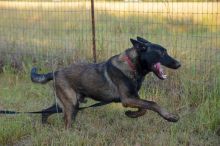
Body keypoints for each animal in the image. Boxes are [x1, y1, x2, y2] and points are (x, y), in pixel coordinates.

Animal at [31, 36, 181, 129]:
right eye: (162, 53)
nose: (179, 64)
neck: (132, 65)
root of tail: (55, 72)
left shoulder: (133, 97)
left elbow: (144, 109)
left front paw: (131, 114)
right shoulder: (127, 99)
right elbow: (153, 104)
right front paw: (170, 117)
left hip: (68, 103)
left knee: (44, 112)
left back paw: (45, 127)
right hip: (71, 105)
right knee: (66, 124)